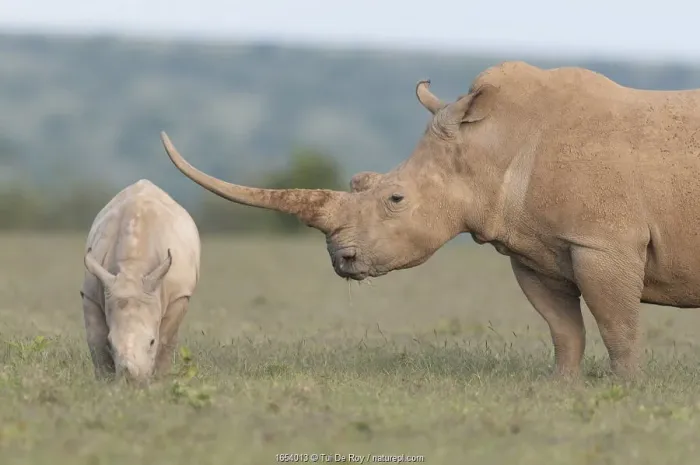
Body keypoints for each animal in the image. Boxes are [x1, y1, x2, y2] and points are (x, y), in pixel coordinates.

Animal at [81, 179, 200, 383]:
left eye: (151, 342)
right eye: (111, 343)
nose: (131, 380)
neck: (132, 270)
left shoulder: (179, 294)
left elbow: (165, 341)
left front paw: (159, 380)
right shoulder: (91, 293)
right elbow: (96, 341)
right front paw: (105, 382)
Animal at [159, 60, 700, 379]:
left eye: (395, 199)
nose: (341, 259)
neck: (492, 145)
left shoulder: (601, 243)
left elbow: (617, 325)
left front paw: (624, 389)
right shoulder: (535, 247)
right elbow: (564, 329)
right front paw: (563, 388)